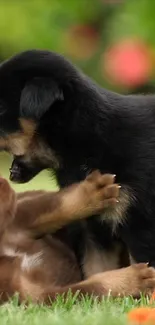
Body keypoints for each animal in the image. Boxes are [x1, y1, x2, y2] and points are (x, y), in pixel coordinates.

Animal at [0, 170, 154, 304]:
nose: (3, 180)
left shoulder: (19, 222)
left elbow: (53, 206)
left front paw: (94, 192)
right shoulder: (36, 295)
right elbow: (89, 288)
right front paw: (135, 280)